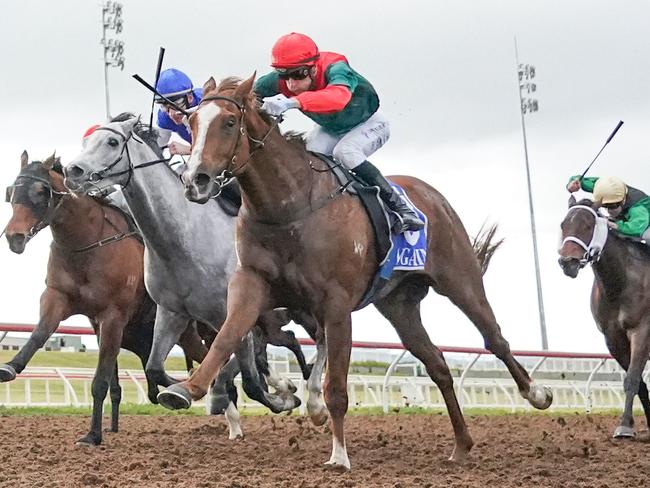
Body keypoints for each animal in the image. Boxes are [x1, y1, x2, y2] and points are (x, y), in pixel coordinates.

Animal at [1, 152, 205, 446]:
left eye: (41, 191)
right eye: (11, 191)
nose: (14, 236)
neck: (87, 244)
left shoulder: (112, 317)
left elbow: (100, 382)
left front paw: (93, 435)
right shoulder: (60, 300)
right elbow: (39, 334)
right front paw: (10, 366)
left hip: (188, 332)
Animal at [153, 75, 552, 468]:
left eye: (229, 122)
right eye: (191, 121)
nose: (196, 180)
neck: (288, 208)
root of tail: (431, 195)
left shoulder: (336, 305)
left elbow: (336, 388)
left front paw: (339, 455)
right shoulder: (252, 286)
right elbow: (226, 339)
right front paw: (185, 389)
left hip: (459, 278)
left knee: (494, 338)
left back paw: (536, 393)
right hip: (399, 305)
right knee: (436, 363)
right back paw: (461, 444)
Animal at [556, 196, 648, 440]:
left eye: (588, 226)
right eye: (563, 225)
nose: (567, 261)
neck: (620, 283)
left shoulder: (642, 331)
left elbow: (633, 379)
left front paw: (624, 426)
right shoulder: (612, 338)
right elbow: (639, 383)